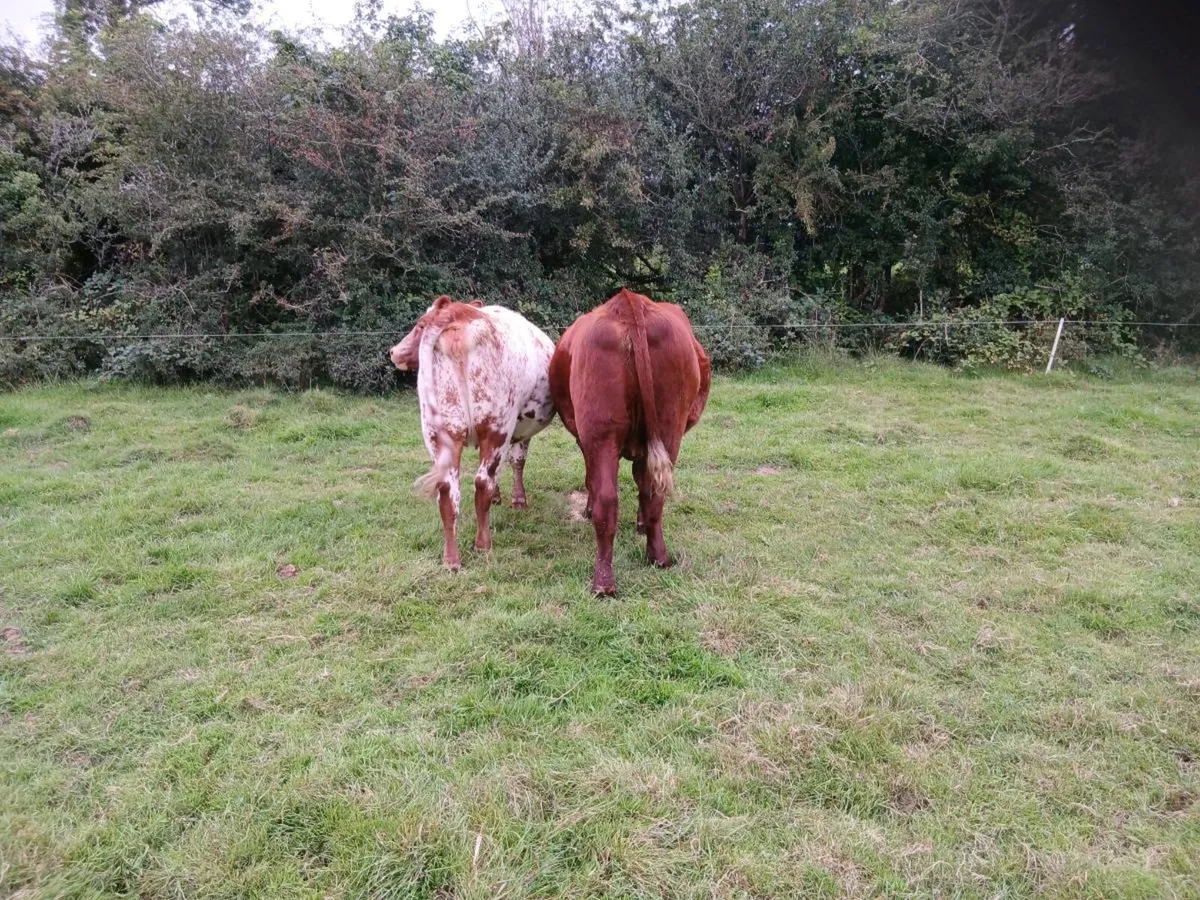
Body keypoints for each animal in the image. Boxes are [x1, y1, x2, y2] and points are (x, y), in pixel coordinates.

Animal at [389, 296, 556, 571]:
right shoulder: (514, 430)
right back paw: (483, 544)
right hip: (495, 427)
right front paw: (517, 500)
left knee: (448, 492)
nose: (393, 351)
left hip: (442, 432)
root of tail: (456, 312)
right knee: (481, 483)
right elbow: (516, 462)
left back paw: (451, 559)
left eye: (419, 325)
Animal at [550, 288, 711, 595]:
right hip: (668, 428)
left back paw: (603, 583)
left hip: (601, 433)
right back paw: (658, 558)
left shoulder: (586, 440)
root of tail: (628, 300)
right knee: (653, 495)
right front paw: (640, 524)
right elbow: (642, 483)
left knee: (607, 498)